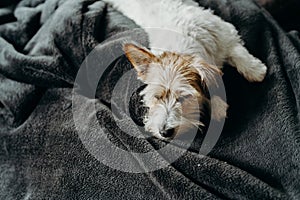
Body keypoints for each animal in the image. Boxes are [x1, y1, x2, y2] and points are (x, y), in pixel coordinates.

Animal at [103, 0, 268, 140]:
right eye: (157, 97)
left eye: (183, 98)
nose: (164, 132)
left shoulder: (223, 32)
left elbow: (237, 52)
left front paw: (255, 70)